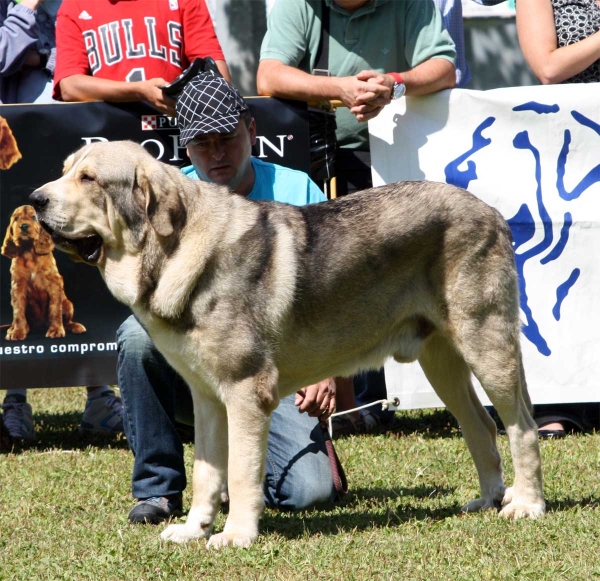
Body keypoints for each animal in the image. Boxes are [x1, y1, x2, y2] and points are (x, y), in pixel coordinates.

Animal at [28, 140, 548, 548]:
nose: (34, 199)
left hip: (487, 345)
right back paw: (488, 498)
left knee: (521, 425)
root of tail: (491, 212)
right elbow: (207, 472)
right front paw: (195, 530)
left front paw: (236, 535)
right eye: (65, 169)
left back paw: (526, 504)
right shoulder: (208, 399)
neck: (174, 249)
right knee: (481, 426)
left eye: (89, 178)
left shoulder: (244, 393)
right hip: (441, 362)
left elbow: (240, 472)